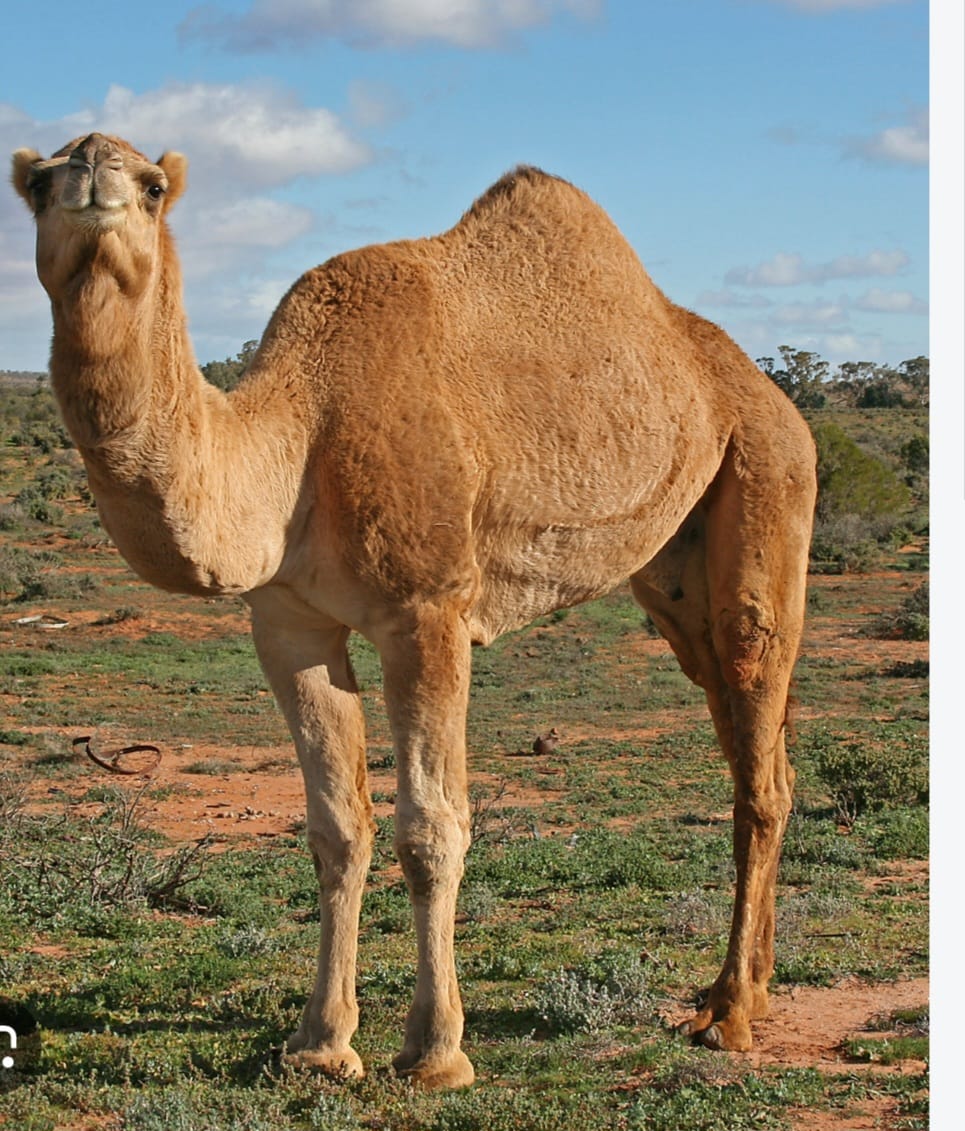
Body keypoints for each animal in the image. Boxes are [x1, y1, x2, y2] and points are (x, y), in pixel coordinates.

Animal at [11, 133, 817, 1090]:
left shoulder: (427, 611)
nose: (93, 169)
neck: (298, 437)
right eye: (37, 184)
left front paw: (435, 1050)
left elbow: (432, 827)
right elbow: (336, 825)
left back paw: (729, 1013)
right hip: (674, 571)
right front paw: (320, 1044)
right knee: (750, 742)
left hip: (767, 478)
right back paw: (747, 988)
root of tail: (767, 392)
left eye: (152, 186)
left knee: (757, 738)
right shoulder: (288, 623)